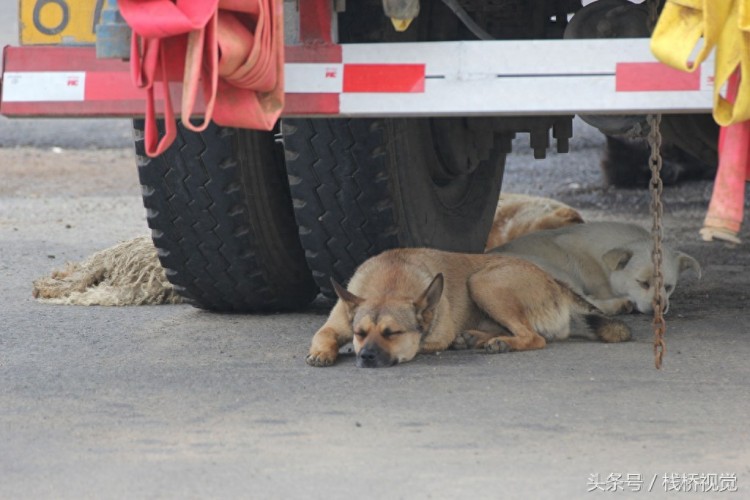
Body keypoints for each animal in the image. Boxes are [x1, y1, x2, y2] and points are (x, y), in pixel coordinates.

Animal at [308, 249, 632, 370]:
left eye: (392, 333)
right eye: (360, 333)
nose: (365, 356)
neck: (389, 284)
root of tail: (555, 281)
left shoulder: (436, 336)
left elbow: (423, 344)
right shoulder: (335, 325)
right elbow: (322, 335)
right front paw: (323, 352)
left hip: (483, 282)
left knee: (534, 337)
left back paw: (499, 343)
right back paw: (478, 338)